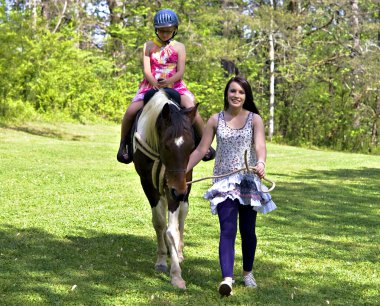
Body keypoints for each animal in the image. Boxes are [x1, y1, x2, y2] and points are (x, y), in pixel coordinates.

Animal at [131, 89, 196, 290]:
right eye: (167, 145)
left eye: (191, 146)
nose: (179, 191)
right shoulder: (148, 184)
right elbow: (159, 224)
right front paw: (161, 261)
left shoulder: (175, 187)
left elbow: (172, 230)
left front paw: (176, 274)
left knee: (182, 216)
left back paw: (179, 253)